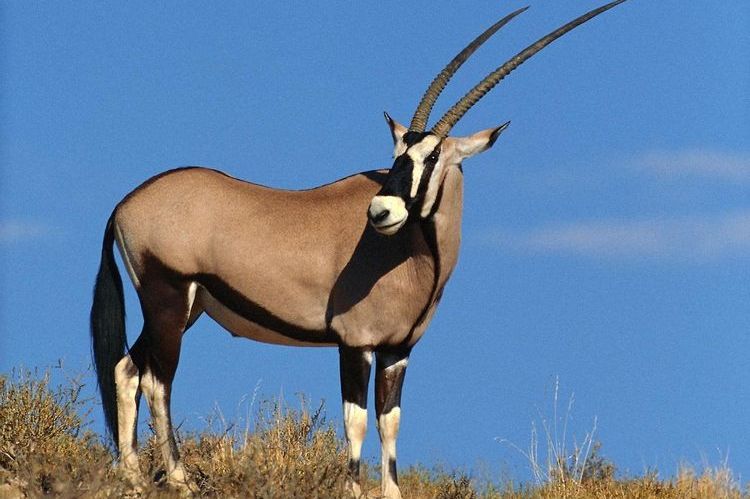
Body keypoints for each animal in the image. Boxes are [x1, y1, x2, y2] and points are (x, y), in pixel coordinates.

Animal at [90, 1, 628, 497]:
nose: (381, 211)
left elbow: (390, 421)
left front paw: (390, 491)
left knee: (127, 369)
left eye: (433, 156)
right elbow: (356, 419)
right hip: (168, 299)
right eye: (398, 154)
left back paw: (131, 477)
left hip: (185, 308)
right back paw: (179, 481)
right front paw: (351, 487)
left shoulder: (397, 350)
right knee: (158, 380)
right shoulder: (355, 343)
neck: (414, 257)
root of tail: (126, 203)